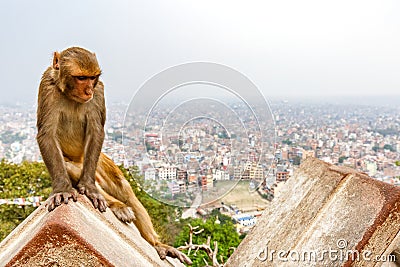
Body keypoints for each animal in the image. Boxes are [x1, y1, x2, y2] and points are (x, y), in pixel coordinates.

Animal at [37, 46, 192, 266]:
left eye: (92, 78)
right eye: (81, 78)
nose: (88, 91)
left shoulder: (99, 91)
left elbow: (96, 130)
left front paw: (89, 188)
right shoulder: (47, 86)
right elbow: (47, 134)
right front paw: (62, 189)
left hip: (98, 162)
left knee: (124, 189)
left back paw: (155, 244)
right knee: (70, 167)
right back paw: (116, 204)